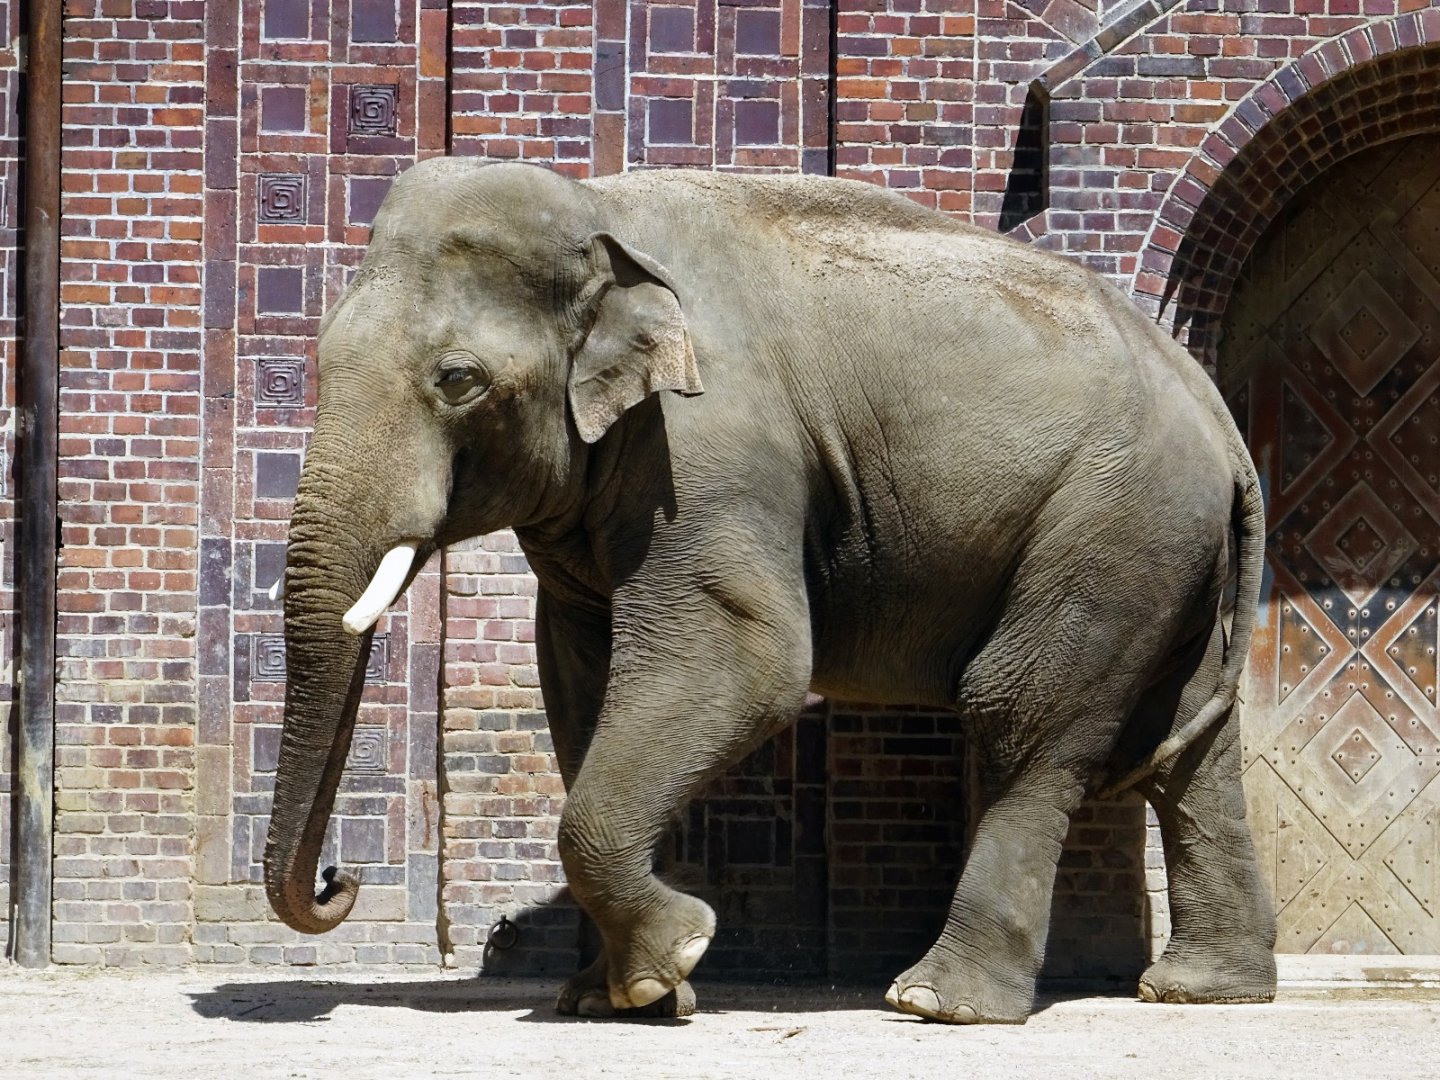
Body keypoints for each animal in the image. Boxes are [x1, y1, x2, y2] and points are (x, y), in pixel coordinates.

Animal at [263, 157, 1278, 1024]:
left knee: (1021, 715)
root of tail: (1218, 413)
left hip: (1113, 524)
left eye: (459, 381)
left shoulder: (710, 445)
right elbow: (581, 686)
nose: (338, 880)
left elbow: (743, 657)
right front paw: (611, 997)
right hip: (1167, 549)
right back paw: (1203, 991)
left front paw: (672, 960)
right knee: (1189, 750)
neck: (601, 209)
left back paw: (936, 1003)